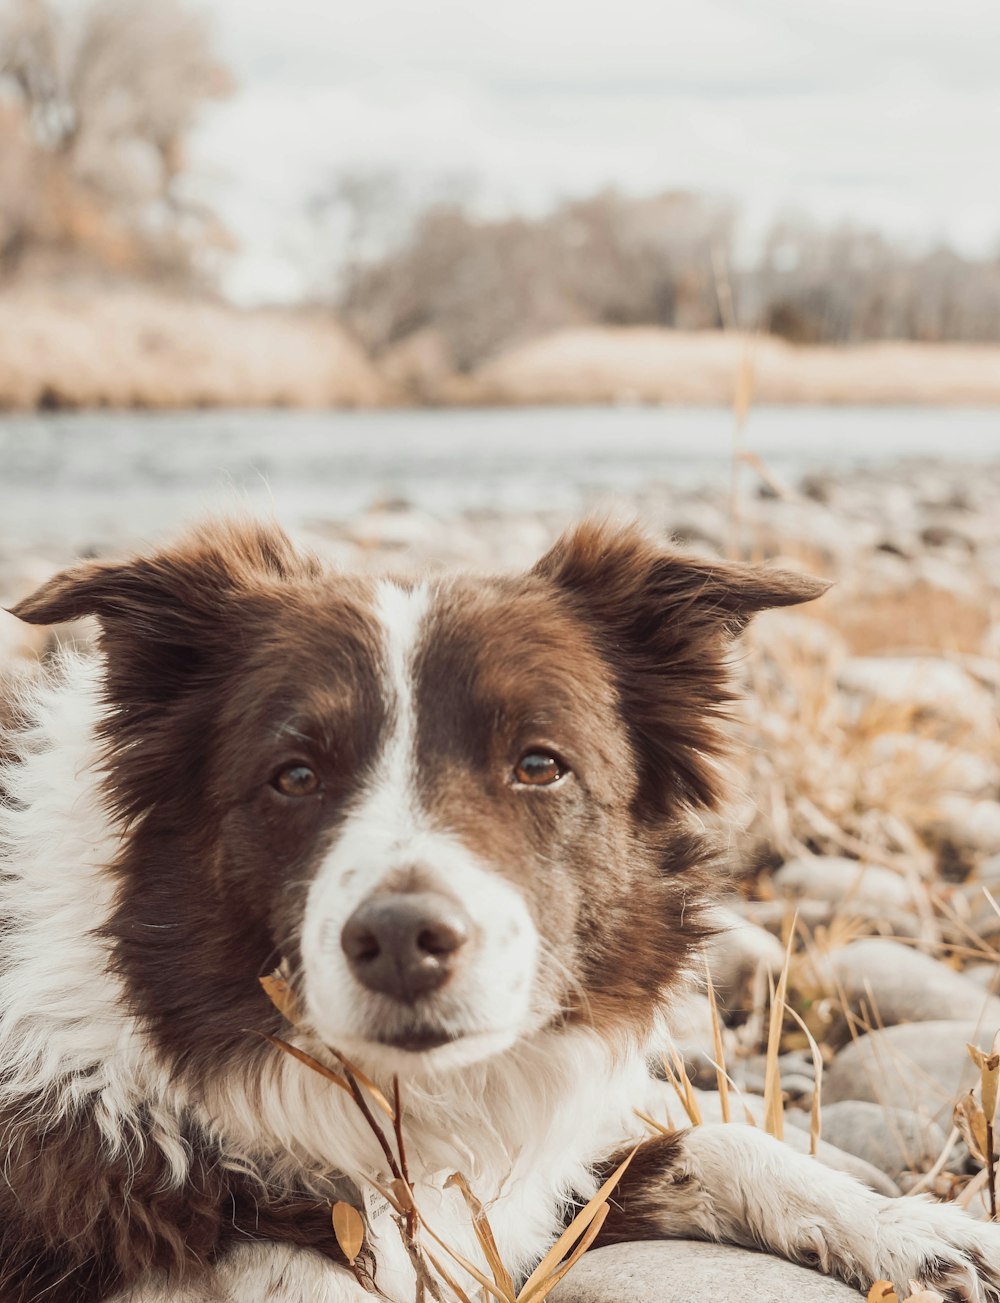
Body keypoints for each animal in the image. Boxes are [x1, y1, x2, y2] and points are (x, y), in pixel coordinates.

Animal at [0, 521, 996, 1303]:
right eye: (295, 774)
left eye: (540, 763)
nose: (400, 939)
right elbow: (286, 1265)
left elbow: (714, 1137)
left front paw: (910, 1228)